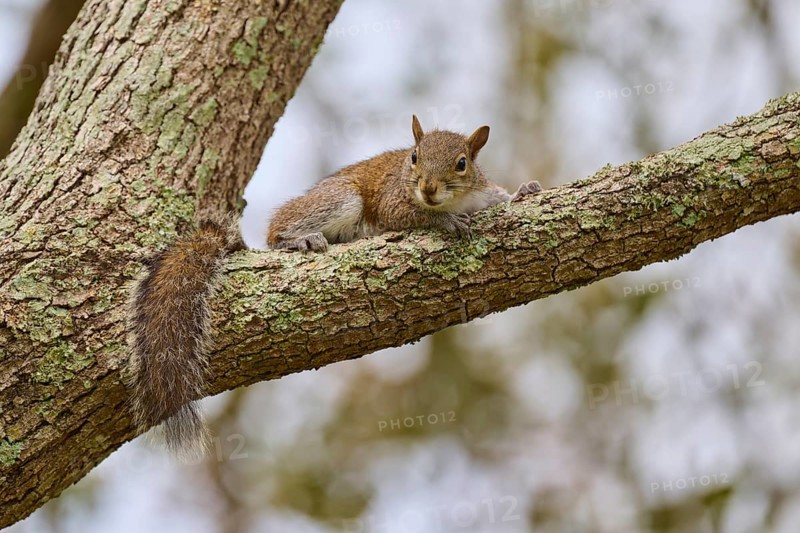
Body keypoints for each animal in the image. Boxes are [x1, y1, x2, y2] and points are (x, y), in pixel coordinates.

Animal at [128, 115, 542, 457]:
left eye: (462, 163)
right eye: (413, 157)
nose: (428, 188)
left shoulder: (482, 195)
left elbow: (502, 197)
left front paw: (525, 190)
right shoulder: (393, 202)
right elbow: (413, 215)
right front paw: (446, 222)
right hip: (340, 199)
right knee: (276, 234)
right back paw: (300, 240)